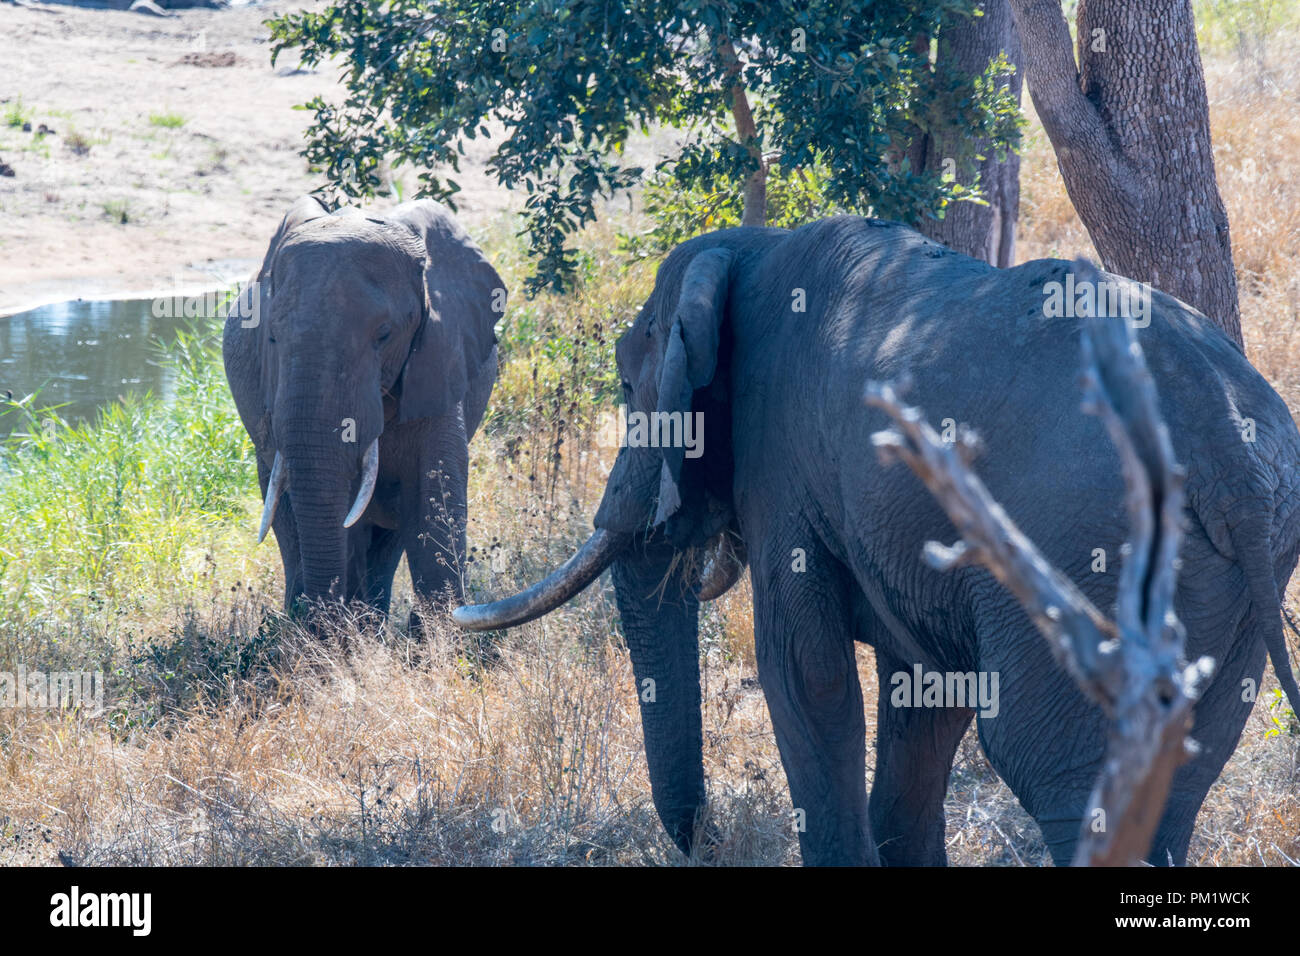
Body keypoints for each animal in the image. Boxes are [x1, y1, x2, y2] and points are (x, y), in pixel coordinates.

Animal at [226, 197, 499, 624]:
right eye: (271, 337)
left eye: (384, 334)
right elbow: (344, 515)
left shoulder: (442, 352)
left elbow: (432, 496)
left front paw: (439, 638)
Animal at [454, 217, 1300, 868]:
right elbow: (924, 692)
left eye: (630, 389)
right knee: (1180, 769)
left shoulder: (783, 466)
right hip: (1239, 570)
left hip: (1084, 545)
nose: (714, 841)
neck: (746, 249)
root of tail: (1223, 444)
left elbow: (805, 672)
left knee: (1047, 763)